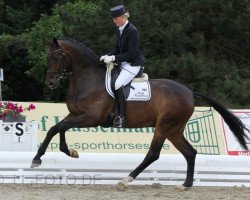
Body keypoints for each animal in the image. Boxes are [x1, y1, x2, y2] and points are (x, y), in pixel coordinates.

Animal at [30, 38, 248, 191]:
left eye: (57, 57)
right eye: (48, 58)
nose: (50, 84)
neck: (86, 77)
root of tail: (190, 92)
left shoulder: (91, 117)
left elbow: (57, 128)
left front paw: (38, 159)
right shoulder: (75, 114)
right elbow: (56, 128)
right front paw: (67, 152)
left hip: (164, 126)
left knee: (153, 154)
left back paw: (125, 180)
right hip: (174, 129)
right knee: (190, 153)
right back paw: (185, 185)